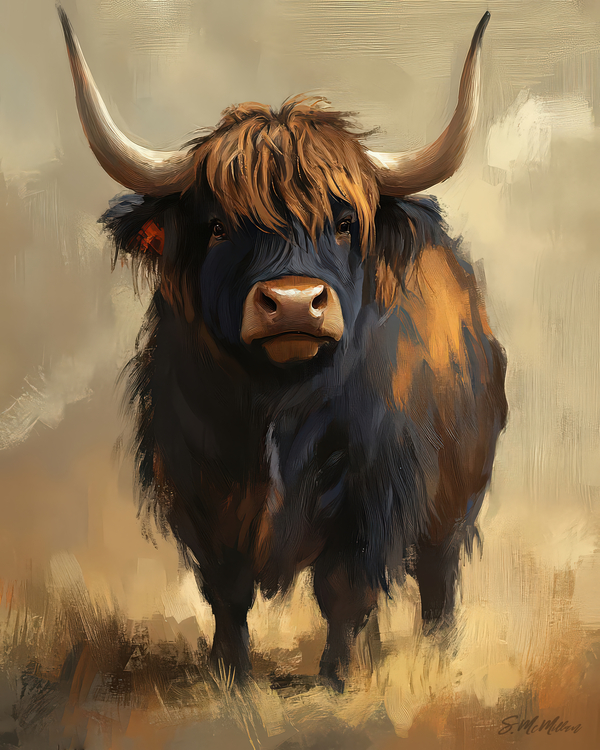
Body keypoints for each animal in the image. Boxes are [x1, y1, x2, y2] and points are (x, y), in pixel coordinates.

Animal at [58, 8, 507, 690]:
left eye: (344, 223)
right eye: (218, 226)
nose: (294, 302)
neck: (280, 407)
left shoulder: (373, 493)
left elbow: (345, 588)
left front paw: (337, 680)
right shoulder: (199, 488)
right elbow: (228, 591)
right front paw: (231, 677)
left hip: (456, 496)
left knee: (437, 577)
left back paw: (435, 653)